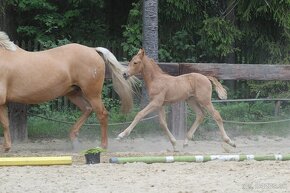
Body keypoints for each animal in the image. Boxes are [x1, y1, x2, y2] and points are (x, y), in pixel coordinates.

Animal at [0, 31, 137, 152]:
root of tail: (93, 50)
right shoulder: (3, 103)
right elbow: (6, 123)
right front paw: (7, 147)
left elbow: (4, 123)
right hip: (73, 93)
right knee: (87, 109)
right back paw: (74, 139)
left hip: (92, 94)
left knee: (102, 114)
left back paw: (102, 146)